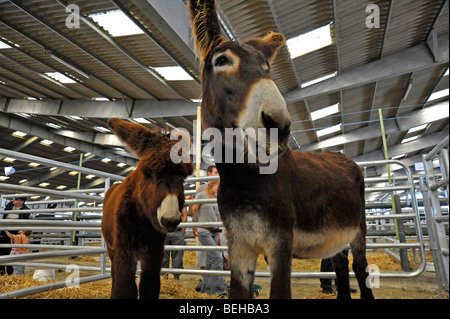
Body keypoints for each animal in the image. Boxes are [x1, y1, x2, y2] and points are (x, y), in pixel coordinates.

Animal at [102, 118, 193, 300]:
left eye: (182, 178)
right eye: (149, 174)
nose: (170, 220)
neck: (142, 221)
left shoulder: (154, 253)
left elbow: (149, 287)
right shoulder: (124, 252)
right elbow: (124, 289)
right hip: (112, 248)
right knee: (115, 273)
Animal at [186, 0, 372, 300]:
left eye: (266, 68)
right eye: (222, 61)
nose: (278, 125)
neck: (244, 179)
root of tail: (343, 158)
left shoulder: (281, 244)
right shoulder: (239, 246)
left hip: (359, 230)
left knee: (360, 267)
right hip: (334, 235)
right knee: (341, 265)